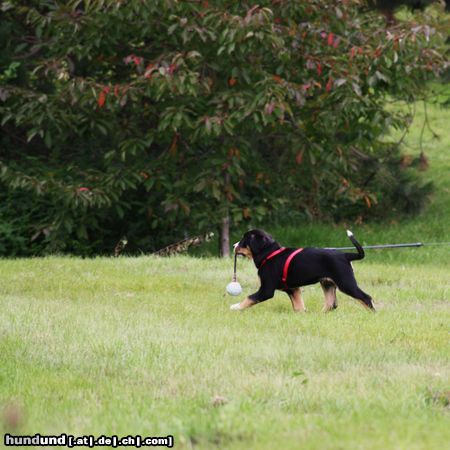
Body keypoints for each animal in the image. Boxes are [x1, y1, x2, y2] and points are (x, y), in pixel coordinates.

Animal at [230, 230, 374, 312]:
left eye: (243, 240)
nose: (233, 246)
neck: (269, 254)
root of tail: (345, 255)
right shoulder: (292, 289)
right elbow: (298, 306)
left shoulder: (266, 290)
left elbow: (250, 298)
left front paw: (236, 307)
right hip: (327, 283)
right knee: (331, 303)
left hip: (346, 282)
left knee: (365, 297)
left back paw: (372, 314)